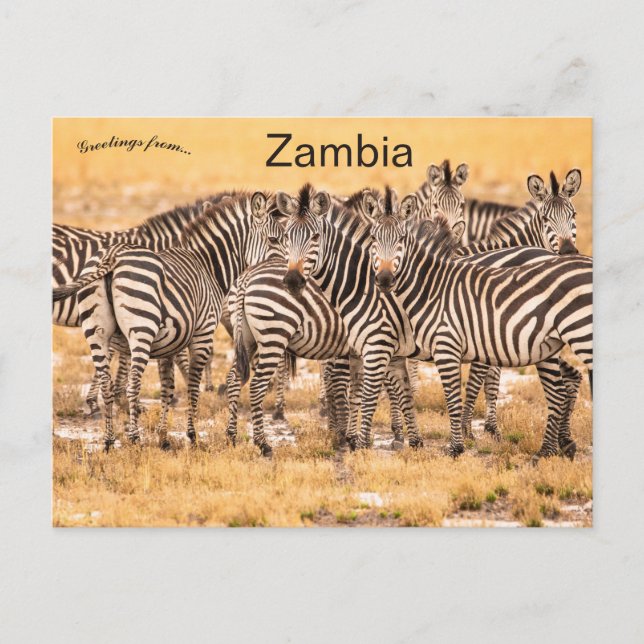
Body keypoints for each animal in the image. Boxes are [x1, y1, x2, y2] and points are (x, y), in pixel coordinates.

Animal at [52, 192, 285, 450]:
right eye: (275, 239)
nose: (288, 275)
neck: (207, 266)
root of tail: (113, 254)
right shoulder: (202, 335)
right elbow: (192, 385)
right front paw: (192, 436)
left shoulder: (168, 345)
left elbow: (167, 388)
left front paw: (163, 438)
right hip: (141, 329)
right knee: (134, 384)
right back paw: (134, 438)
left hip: (97, 332)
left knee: (106, 383)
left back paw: (109, 441)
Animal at [370, 214, 592, 459]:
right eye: (373, 238)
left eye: (401, 239)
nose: (384, 279)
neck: (433, 288)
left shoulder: (444, 344)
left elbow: (451, 397)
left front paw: (454, 448)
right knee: (564, 386)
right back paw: (555, 447)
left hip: (578, 335)